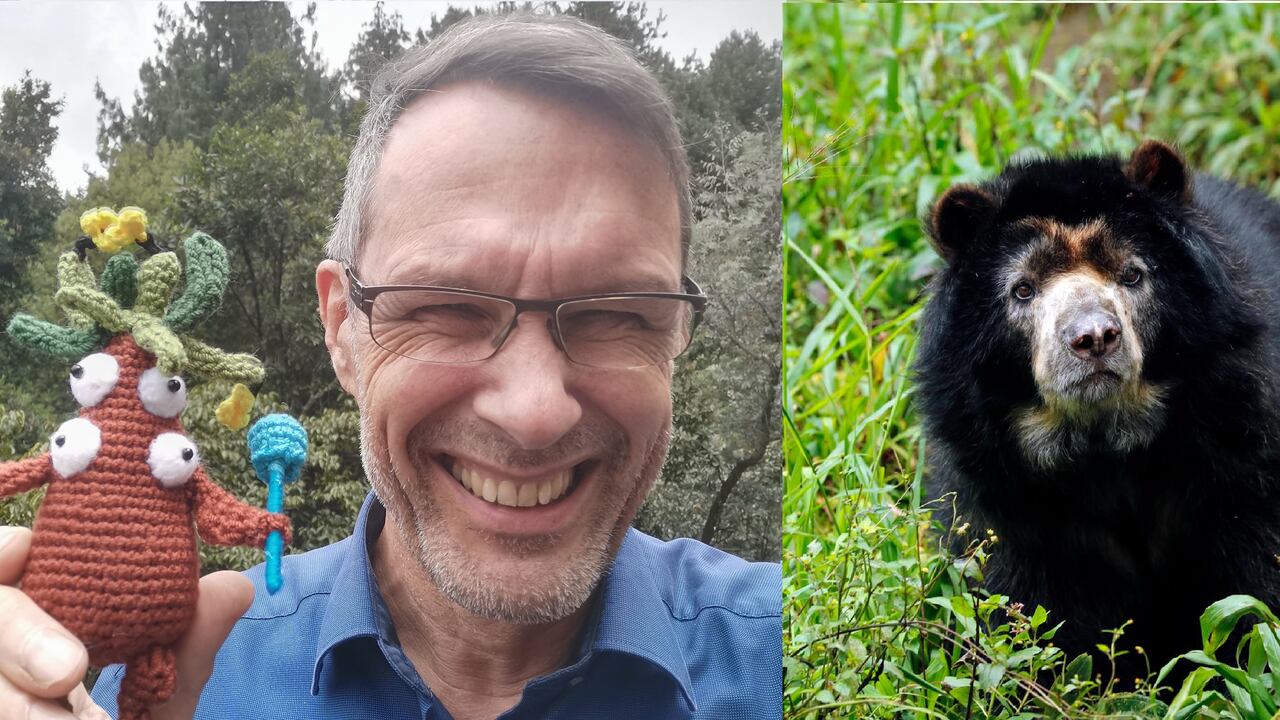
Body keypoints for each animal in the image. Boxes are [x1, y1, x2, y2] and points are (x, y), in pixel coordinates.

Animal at [917, 139, 1280, 682]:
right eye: (1022, 289)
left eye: (1132, 274)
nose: (1093, 337)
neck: (1106, 449)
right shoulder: (1006, 501)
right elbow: (1029, 608)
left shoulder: (1239, 455)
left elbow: (1253, 586)